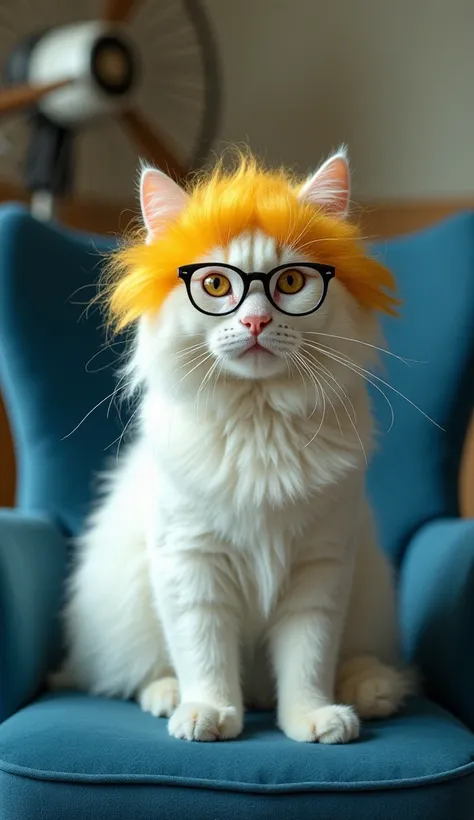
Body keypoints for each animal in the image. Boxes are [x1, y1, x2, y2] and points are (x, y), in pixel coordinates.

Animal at [51, 149, 408, 744]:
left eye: (291, 282)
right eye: (217, 287)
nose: (256, 321)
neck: (258, 424)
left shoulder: (321, 568)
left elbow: (308, 660)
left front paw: (312, 719)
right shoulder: (190, 563)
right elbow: (205, 656)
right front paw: (209, 715)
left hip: (367, 590)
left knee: (353, 659)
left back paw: (371, 693)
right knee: (139, 673)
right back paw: (170, 699)